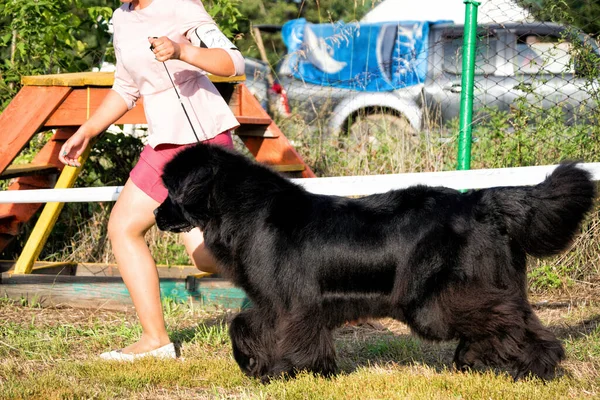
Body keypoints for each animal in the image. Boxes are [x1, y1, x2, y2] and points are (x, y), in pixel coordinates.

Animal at [155, 144, 596, 382]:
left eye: (170, 191)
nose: (157, 215)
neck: (245, 210)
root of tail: (483, 201)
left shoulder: (291, 301)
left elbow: (282, 332)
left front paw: (287, 370)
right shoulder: (271, 299)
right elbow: (245, 324)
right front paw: (259, 364)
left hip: (441, 296)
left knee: (508, 318)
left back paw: (537, 367)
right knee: (510, 318)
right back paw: (482, 362)